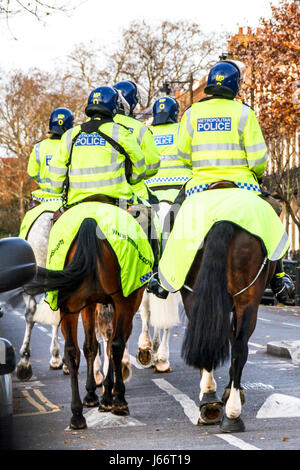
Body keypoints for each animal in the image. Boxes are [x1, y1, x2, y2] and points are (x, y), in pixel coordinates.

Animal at [27, 217, 147, 430]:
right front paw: (108, 395)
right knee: (116, 344)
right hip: (125, 300)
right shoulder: (126, 301)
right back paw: (119, 401)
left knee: (72, 350)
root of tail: (89, 222)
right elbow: (111, 344)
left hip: (69, 306)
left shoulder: (88, 305)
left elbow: (90, 346)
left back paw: (76, 414)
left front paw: (92, 395)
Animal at [179, 220, 276, 434]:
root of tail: (222, 221)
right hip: (247, 299)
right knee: (238, 345)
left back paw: (212, 401)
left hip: (196, 295)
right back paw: (230, 412)